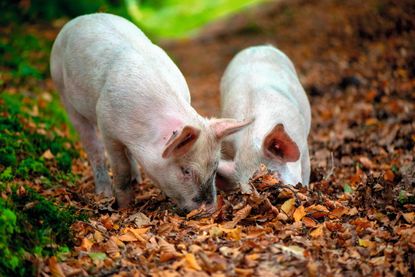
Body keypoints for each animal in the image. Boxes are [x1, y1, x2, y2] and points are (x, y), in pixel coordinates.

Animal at [50, 12, 252, 211]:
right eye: (185, 170)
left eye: (215, 166)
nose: (209, 209)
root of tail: (81, 18)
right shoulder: (107, 125)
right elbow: (120, 167)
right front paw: (124, 207)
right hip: (63, 91)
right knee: (93, 147)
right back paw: (104, 193)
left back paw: (137, 180)